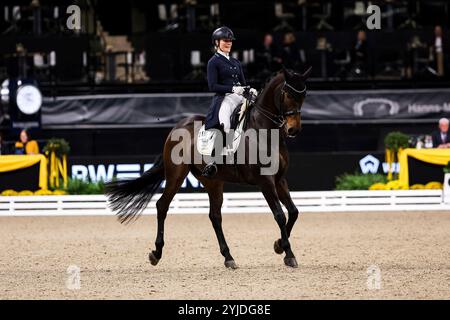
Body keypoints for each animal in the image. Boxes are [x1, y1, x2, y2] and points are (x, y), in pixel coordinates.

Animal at [104, 66, 312, 268]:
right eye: (287, 94)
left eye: (304, 96)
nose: (293, 130)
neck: (264, 131)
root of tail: (177, 127)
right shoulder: (265, 181)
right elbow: (280, 215)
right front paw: (288, 254)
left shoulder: (279, 179)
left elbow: (293, 212)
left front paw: (279, 246)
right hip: (176, 174)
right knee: (162, 206)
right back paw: (156, 253)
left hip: (213, 181)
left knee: (215, 216)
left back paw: (228, 257)